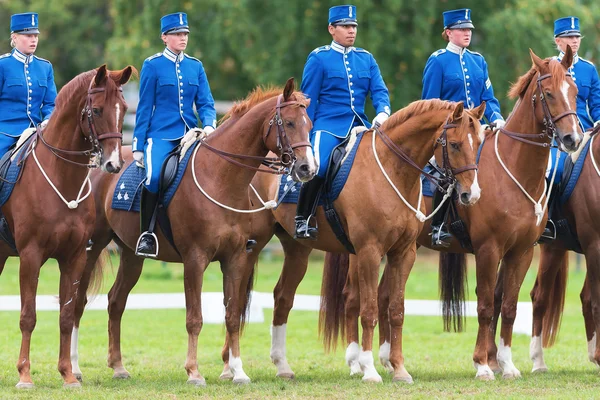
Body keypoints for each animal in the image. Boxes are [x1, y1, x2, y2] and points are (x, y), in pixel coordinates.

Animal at [0, 65, 132, 388]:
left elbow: (67, 314)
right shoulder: (30, 256)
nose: (113, 164)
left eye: (124, 109)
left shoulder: (74, 257)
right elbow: (28, 316)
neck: (62, 176)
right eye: (96, 110)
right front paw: (24, 375)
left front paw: (68, 375)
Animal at [71, 78, 316, 384]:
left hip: (131, 254)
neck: (221, 177)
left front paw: (238, 371)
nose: (308, 168)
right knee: (78, 302)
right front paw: (194, 372)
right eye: (290, 123)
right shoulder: (195, 259)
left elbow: (232, 315)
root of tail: (101, 165)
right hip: (92, 247)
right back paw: (74, 368)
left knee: (116, 301)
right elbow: (194, 318)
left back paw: (118, 367)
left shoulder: (235, 258)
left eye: (309, 123)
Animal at [218, 98, 486, 382]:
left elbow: (396, 310)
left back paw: (281, 365)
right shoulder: (369, 251)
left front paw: (399, 369)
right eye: (455, 144)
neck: (392, 170)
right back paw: (231, 367)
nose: (471, 194)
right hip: (250, 248)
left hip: (297, 249)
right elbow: (368, 311)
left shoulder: (404, 253)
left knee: (282, 297)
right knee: (236, 300)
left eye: (479, 142)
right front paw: (369, 369)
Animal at [372, 47, 584, 382]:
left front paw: (507, 364)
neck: (515, 171)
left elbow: (508, 306)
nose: (572, 139)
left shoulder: (521, 252)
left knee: (383, 294)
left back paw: (388, 360)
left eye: (574, 91)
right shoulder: (488, 250)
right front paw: (483, 364)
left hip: (404, 247)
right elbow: (485, 305)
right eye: (549, 93)